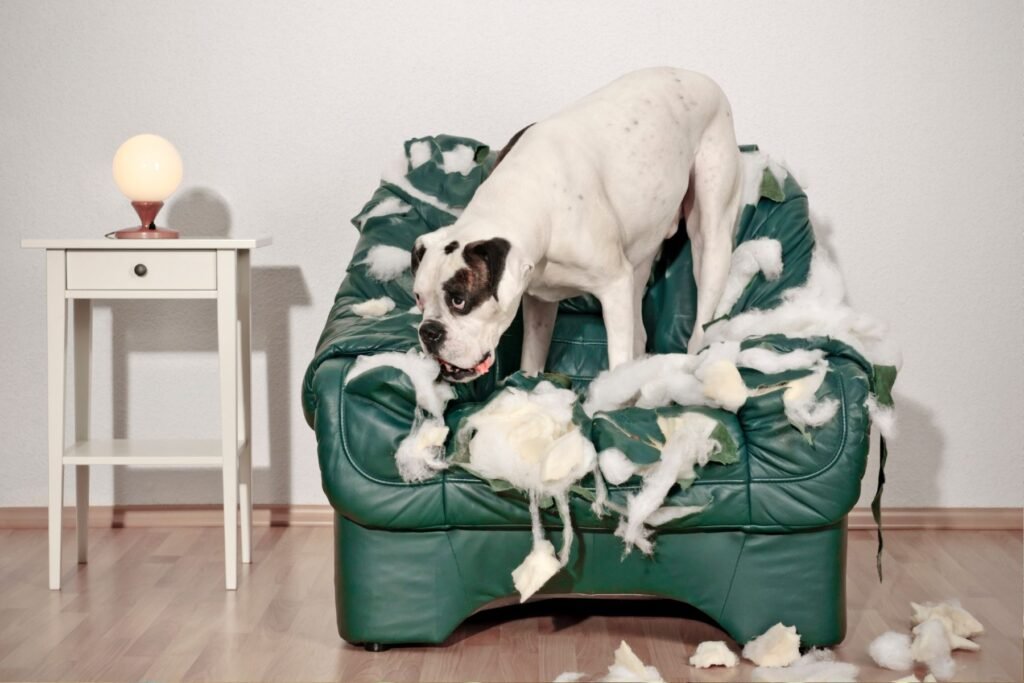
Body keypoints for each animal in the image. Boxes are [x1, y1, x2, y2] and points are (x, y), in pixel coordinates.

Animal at [411, 68, 741, 385]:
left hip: (710, 241)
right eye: (418, 298)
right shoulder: (538, 302)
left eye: (460, 301)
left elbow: (617, 359)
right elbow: (531, 360)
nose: (429, 332)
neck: (525, 196)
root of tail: (702, 78)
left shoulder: (614, 286)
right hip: (641, 258)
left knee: (700, 320)